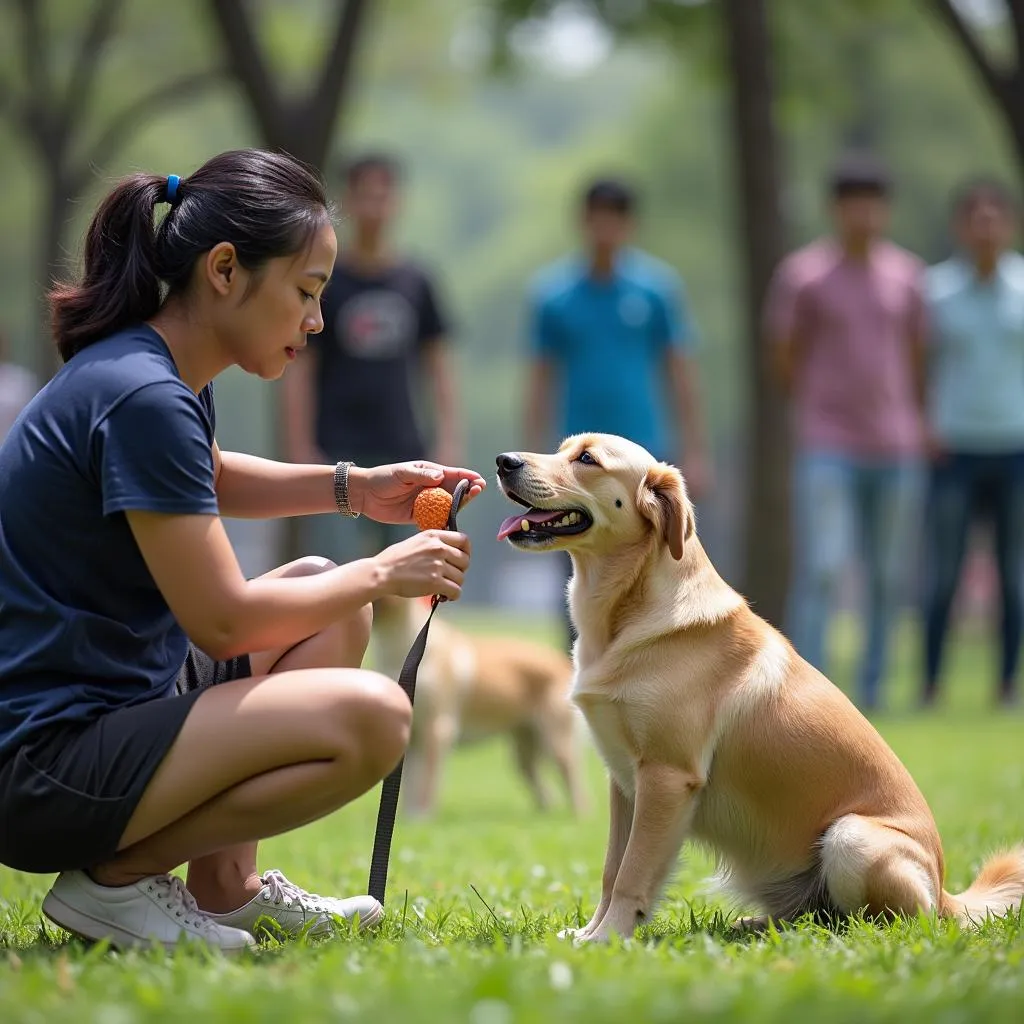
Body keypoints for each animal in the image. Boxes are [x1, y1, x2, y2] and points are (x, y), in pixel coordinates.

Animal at [372, 598, 589, 819]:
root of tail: (562, 663)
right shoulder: (412, 736)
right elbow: (408, 785)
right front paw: (407, 818)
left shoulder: (437, 730)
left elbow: (426, 784)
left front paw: (421, 818)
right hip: (523, 751)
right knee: (543, 787)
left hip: (555, 742)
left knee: (574, 783)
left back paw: (580, 817)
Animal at [495, 432, 1024, 942]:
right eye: (562, 449)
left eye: (587, 459)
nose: (504, 461)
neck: (625, 615)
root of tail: (946, 893)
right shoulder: (624, 780)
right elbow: (611, 869)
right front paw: (589, 931)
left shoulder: (667, 777)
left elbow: (632, 874)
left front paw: (608, 939)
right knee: (816, 915)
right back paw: (750, 925)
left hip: (851, 839)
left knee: (886, 922)